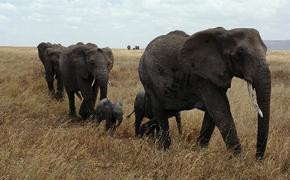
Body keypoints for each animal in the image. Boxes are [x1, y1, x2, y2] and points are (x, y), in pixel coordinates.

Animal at [139, 27, 270, 160]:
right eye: (239, 54)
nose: (257, 160)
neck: (226, 33)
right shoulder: (202, 77)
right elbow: (220, 111)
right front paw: (237, 160)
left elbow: (213, 113)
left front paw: (200, 152)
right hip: (149, 81)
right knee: (160, 113)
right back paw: (165, 151)